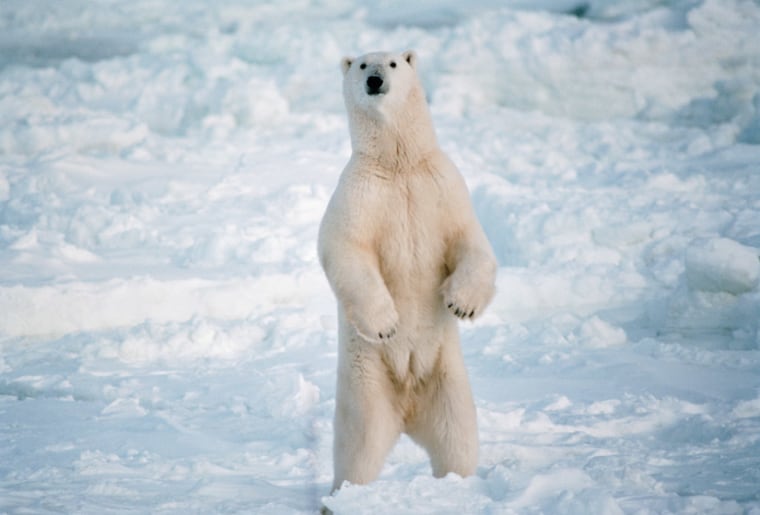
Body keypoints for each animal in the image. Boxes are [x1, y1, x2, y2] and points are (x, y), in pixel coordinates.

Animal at [316, 51, 498, 492]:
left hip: (447, 380)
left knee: (457, 439)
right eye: (362, 65)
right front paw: (386, 324)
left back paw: (456, 483)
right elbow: (345, 248)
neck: (398, 164)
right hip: (367, 385)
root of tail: (408, 412)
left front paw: (461, 304)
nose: (376, 80)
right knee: (359, 449)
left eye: (394, 63)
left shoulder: (442, 186)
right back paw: (343, 495)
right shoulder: (360, 194)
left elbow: (470, 240)